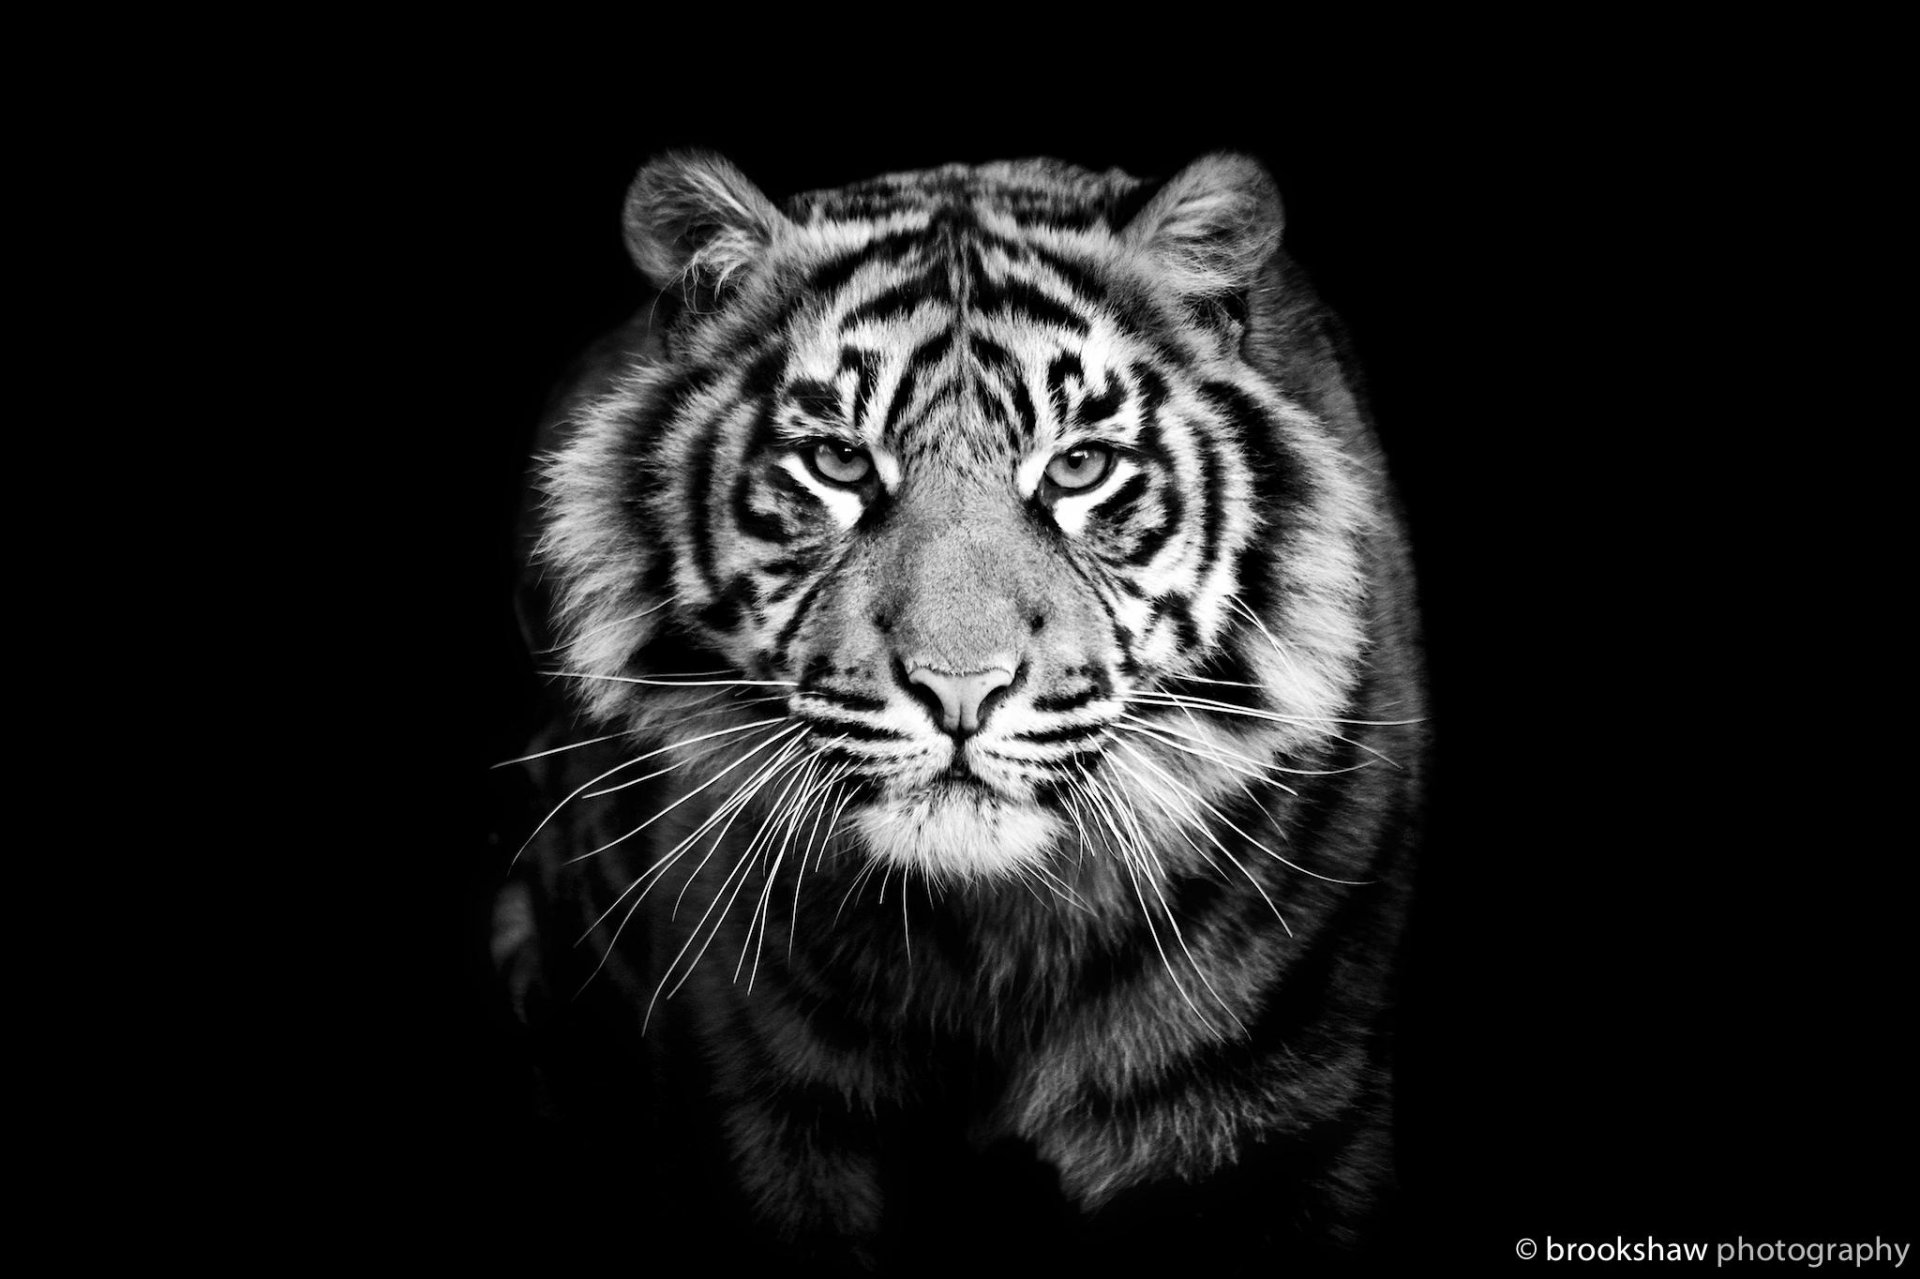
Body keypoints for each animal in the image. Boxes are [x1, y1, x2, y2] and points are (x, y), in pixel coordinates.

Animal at [495, 149, 1428, 1272]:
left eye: (1078, 465)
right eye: (840, 462)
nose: (959, 687)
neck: (989, 940)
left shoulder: (1289, 1115)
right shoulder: (761, 1122)